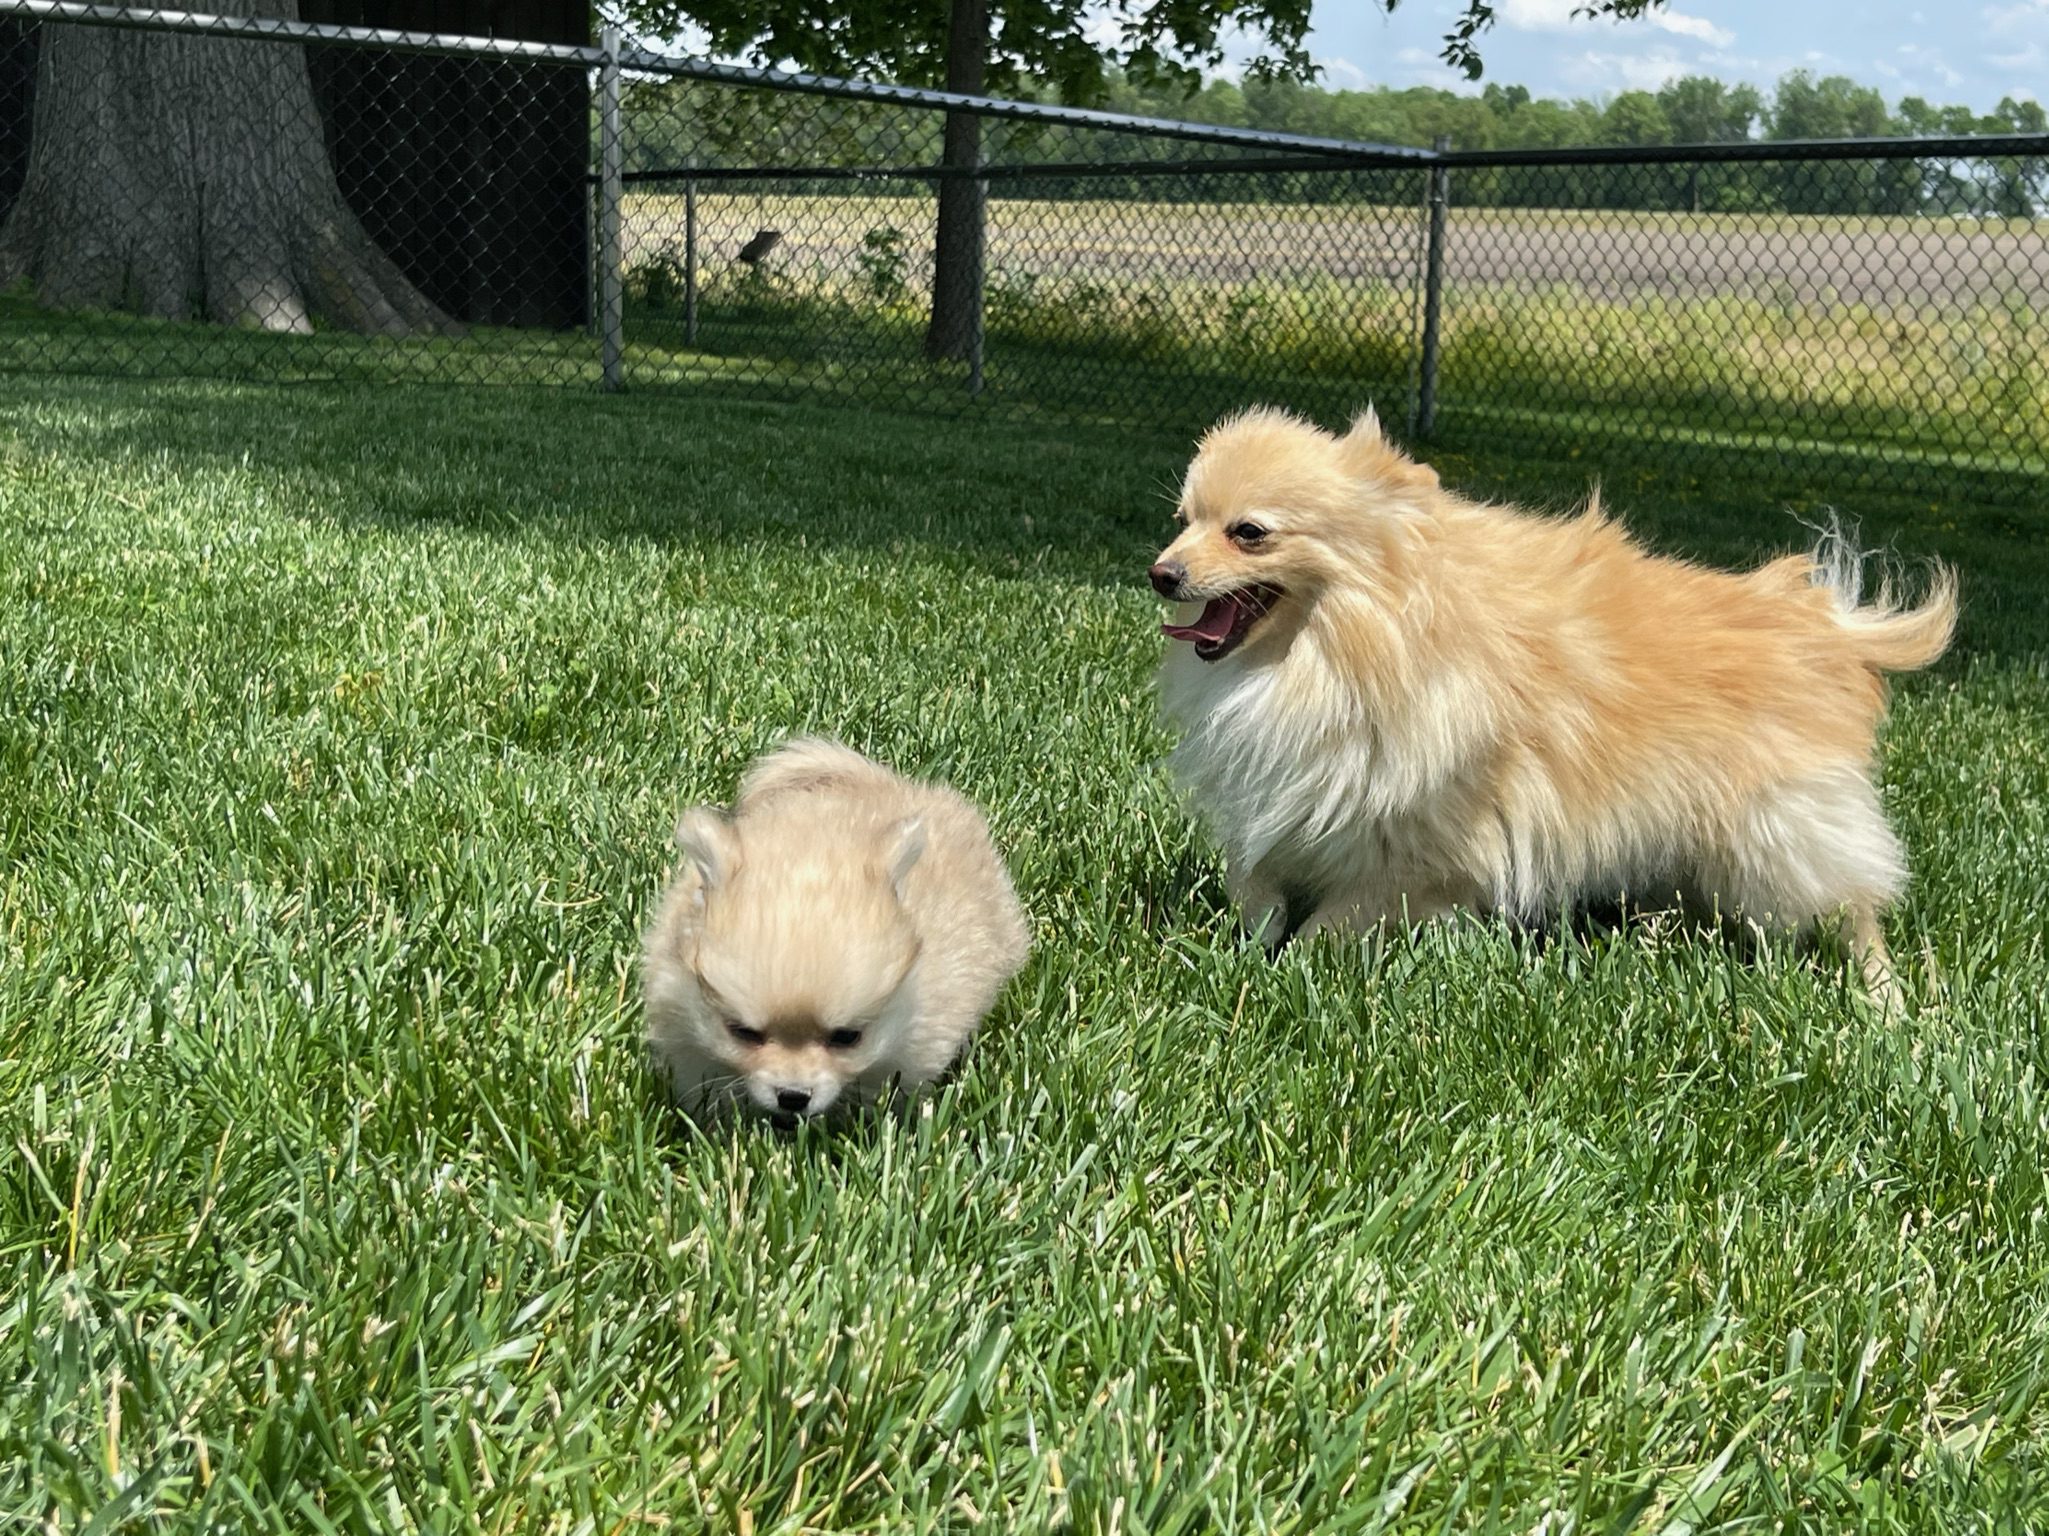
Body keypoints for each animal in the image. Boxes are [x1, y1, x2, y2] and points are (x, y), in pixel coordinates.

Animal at [1147, 405, 1958, 999]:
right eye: (1182, 520)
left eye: (1249, 533)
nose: (1161, 572)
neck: (1345, 647)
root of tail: (1825, 626)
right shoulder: (1293, 799)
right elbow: (1256, 886)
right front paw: (1247, 947)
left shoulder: (1421, 851)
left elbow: (1335, 920)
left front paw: (1285, 976)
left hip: (1777, 834)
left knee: (1853, 911)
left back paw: (1885, 1002)